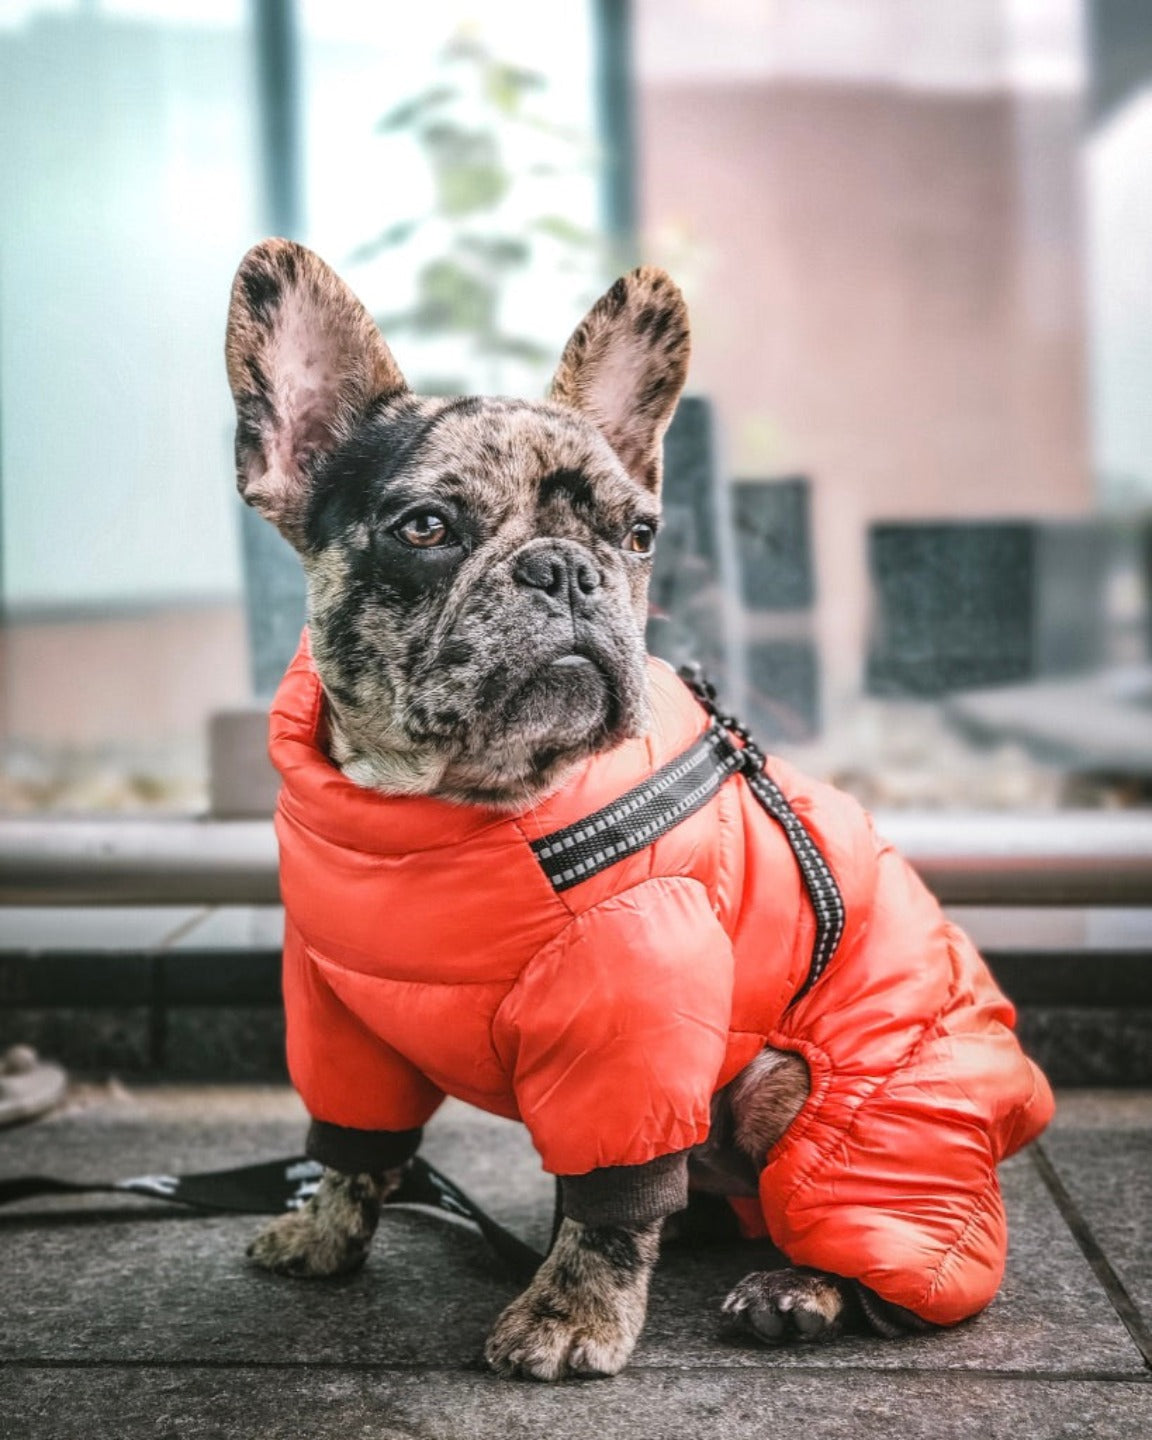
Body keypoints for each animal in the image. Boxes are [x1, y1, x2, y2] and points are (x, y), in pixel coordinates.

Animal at [223, 241, 1054, 1376]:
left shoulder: (635, 1013)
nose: (566, 568)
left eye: (640, 534)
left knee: (867, 1243)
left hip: (804, 1093)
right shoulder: (339, 1013)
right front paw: (325, 1231)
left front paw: (572, 1312)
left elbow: (613, 1201)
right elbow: (354, 1143)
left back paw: (798, 1289)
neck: (448, 811)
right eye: (426, 527)